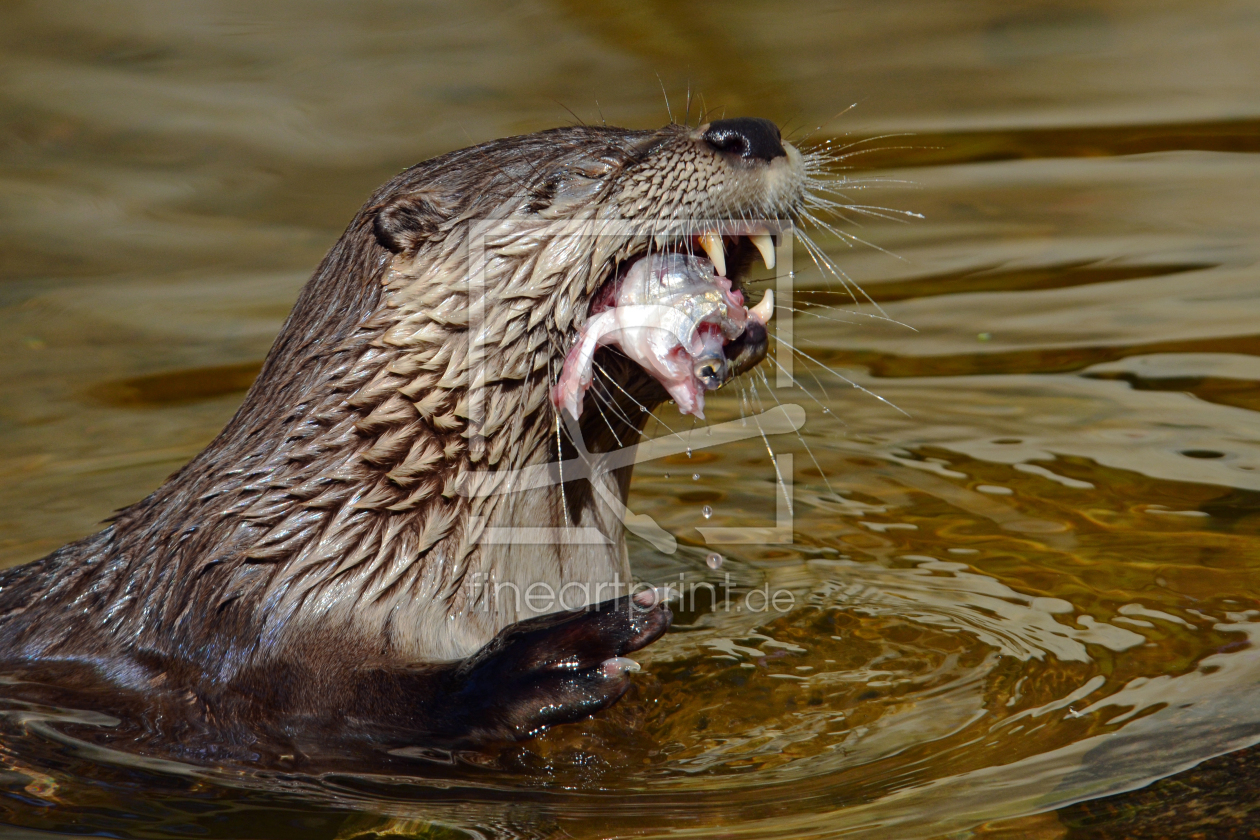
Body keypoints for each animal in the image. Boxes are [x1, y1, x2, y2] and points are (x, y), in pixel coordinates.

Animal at [0, 116, 806, 760]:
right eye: (575, 179)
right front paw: (542, 662)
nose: (747, 130)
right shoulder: (246, 635)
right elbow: (330, 708)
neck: (338, 534)